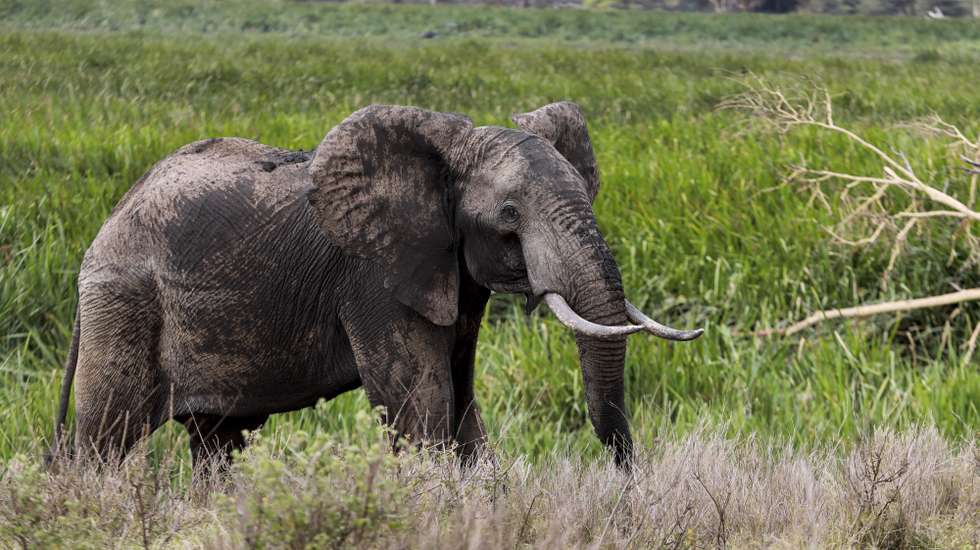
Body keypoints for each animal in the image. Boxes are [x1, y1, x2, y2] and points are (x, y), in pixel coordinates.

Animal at [50, 102, 702, 471]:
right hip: (124, 300)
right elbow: (421, 405)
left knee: (219, 442)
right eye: (510, 215)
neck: (440, 161)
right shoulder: (374, 278)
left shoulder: (449, 269)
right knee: (107, 437)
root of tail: (106, 224)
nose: (626, 476)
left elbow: (460, 405)